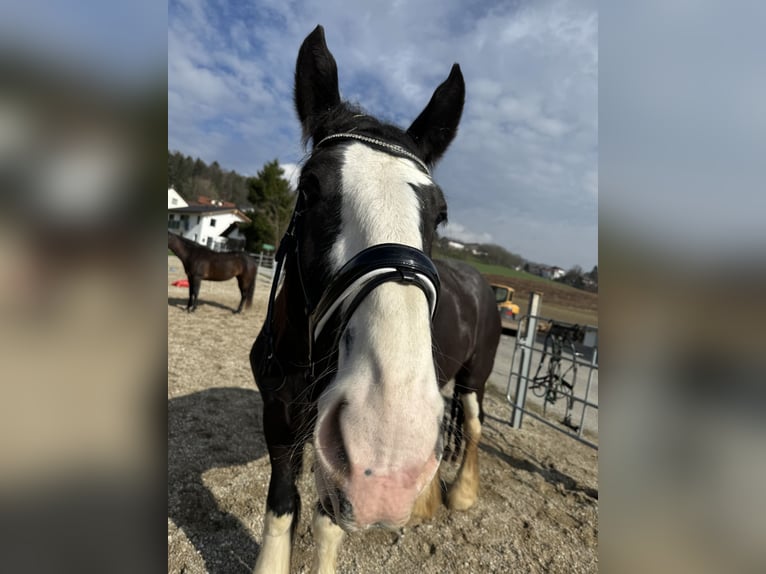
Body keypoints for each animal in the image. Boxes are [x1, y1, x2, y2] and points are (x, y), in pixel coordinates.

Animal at [250, 25, 498, 574]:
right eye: (309, 188)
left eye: (440, 213)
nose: (387, 442)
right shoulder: (279, 416)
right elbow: (282, 507)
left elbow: (326, 521)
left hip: (475, 377)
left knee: (471, 425)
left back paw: (461, 494)